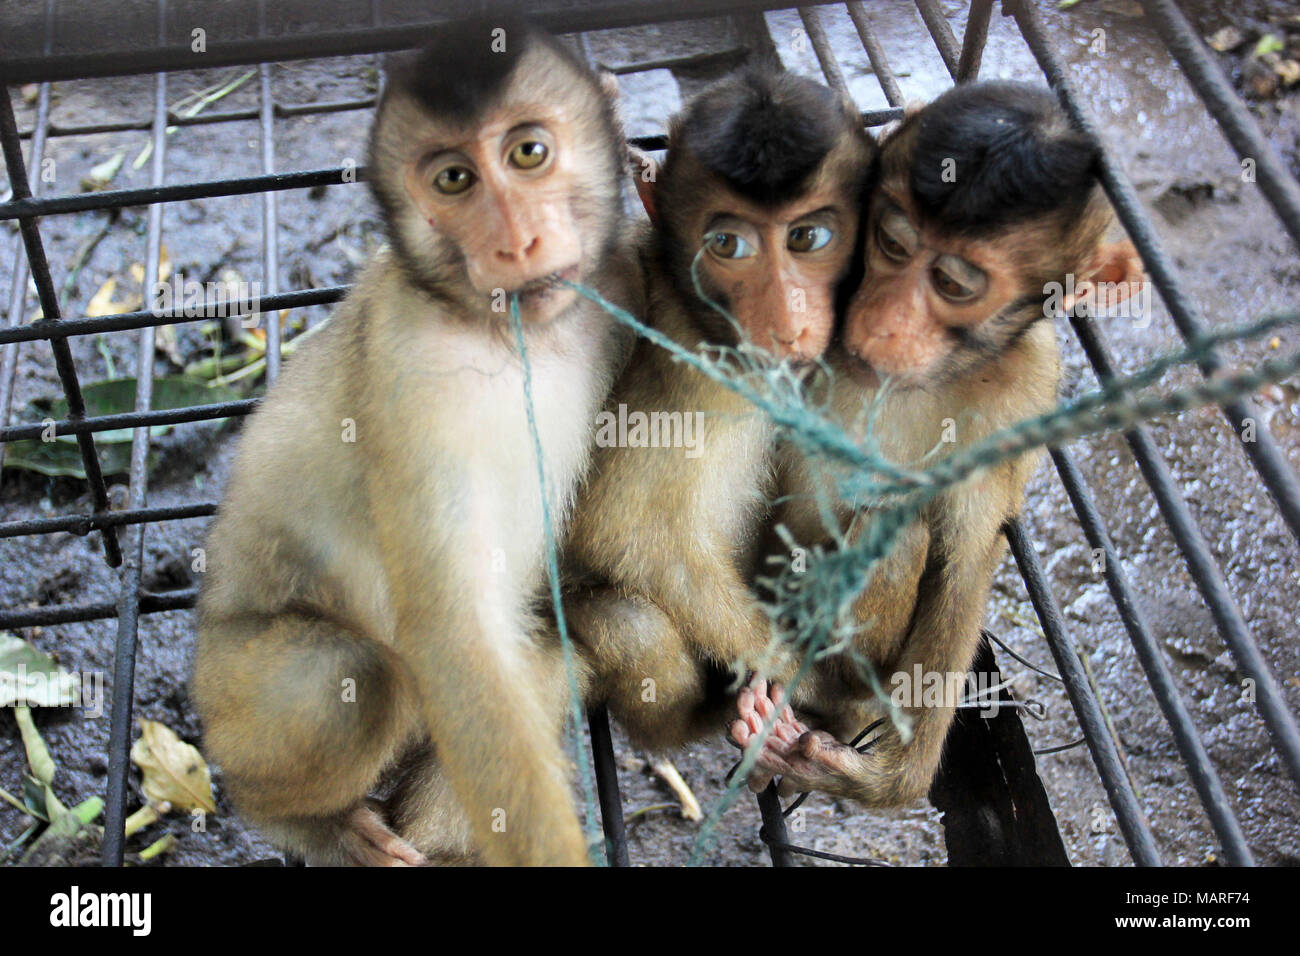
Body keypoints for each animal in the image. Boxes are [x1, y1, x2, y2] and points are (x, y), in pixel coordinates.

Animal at [192, 20, 639, 868]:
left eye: (529, 152)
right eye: (454, 180)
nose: (515, 241)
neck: (507, 334)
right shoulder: (414, 375)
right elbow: (451, 634)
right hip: (230, 698)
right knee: (350, 679)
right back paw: (307, 822)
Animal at [566, 69, 873, 754]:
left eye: (808, 236)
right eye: (727, 244)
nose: (786, 318)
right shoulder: (703, 382)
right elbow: (627, 535)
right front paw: (816, 683)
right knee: (627, 619)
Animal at [738, 78, 1144, 806]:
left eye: (954, 284)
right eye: (892, 242)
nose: (881, 318)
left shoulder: (1026, 393)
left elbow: (968, 551)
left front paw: (882, 781)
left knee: (900, 534)